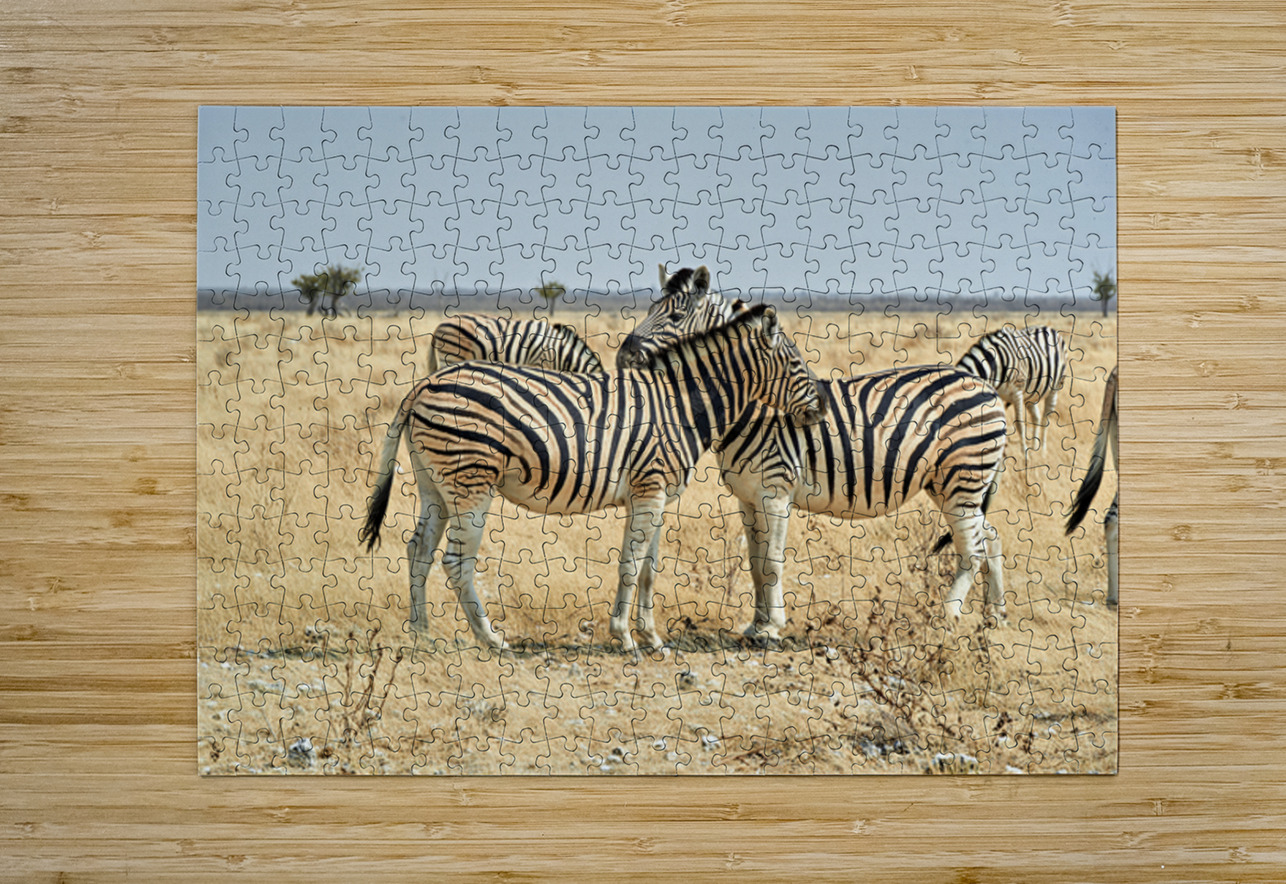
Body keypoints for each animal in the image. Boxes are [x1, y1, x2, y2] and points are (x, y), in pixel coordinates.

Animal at [619, 269, 1008, 634]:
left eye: (675, 317)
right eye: (649, 310)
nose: (624, 355)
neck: (754, 408)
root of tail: (983, 385)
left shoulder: (775, 492)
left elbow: (771, 562)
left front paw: (771, 628)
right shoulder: (747, 498)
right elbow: (755, 563)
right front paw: (756, 625)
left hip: (962, 478)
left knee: (972, 550)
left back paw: (947, 617)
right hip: (952, 485)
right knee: (990, 537)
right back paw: (993, 614)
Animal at [955, 326, 1068, 468]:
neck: (995, 364)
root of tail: (1049, 328)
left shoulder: (1017, 392)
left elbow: (1019, 425)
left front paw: (1025, 457)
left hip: (1055, 388)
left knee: (1045, 419)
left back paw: (1042, 453)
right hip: (1031, 394)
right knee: (1036, 416)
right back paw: (1034, 449)